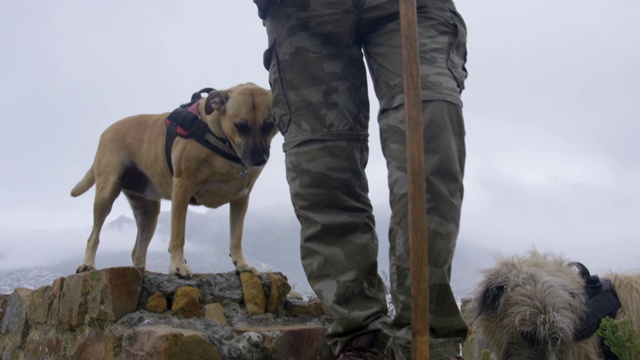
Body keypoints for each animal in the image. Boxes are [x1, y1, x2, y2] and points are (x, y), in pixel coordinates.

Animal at [71, 83, 276, 278]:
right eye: (240, 126)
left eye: (269, 125)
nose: (260, 159)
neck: (221, 139)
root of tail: (106, 132)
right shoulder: (182, 188)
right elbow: (178, 234)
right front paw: (178, 266)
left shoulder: (241, 198)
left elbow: (236, 237)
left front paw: (242, 265)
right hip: (107, 192)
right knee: (93, 235)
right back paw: (87, 264)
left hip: (148, 211)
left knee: (137, 251)